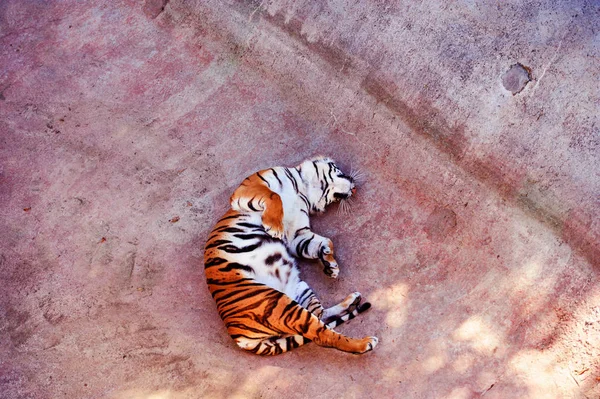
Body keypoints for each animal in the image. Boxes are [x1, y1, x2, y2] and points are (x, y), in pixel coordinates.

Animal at [204, 156, 378, 356]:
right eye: (340, 170)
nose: (355, 188)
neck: (304, 190)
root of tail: (236, 335)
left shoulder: (297, 234)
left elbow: (324, 241)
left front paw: (330, 264)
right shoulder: (250, 186)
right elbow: (274, 196)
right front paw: (274, 227)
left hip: (298, 289)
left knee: (321, 317)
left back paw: (352, 302)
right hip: (276, 303)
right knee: (322, 334)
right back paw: (365, 343)